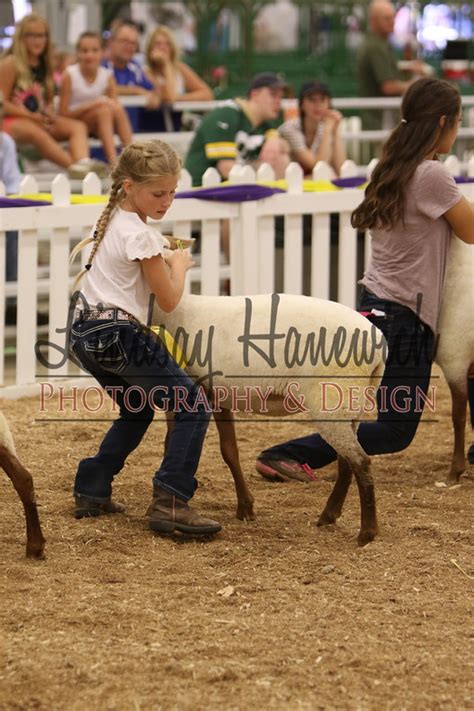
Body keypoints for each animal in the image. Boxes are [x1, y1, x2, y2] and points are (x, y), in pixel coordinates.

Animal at [154, 292, 386, 548]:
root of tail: (378, 346)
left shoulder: (197, 391)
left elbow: (178, 443)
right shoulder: (217, 396)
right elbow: (228, 450)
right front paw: (245, 508)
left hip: (332, 400)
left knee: (360, 461)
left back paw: (367, 532)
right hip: (350, 405)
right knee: (347, 462)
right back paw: (329, 515)